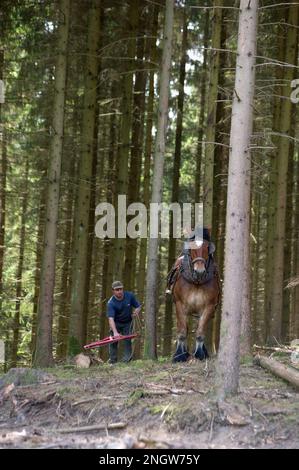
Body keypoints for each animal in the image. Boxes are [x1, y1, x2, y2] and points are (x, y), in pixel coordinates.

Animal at [169, 229, 220, 362]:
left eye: (207, 247)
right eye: (191, 247)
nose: (199, 271)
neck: (197, 282)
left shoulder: (209, 306)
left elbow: (200, 331)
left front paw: (200, 354)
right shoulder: (179, 305)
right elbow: (182, 331)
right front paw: (179, 355)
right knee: (184, 327)